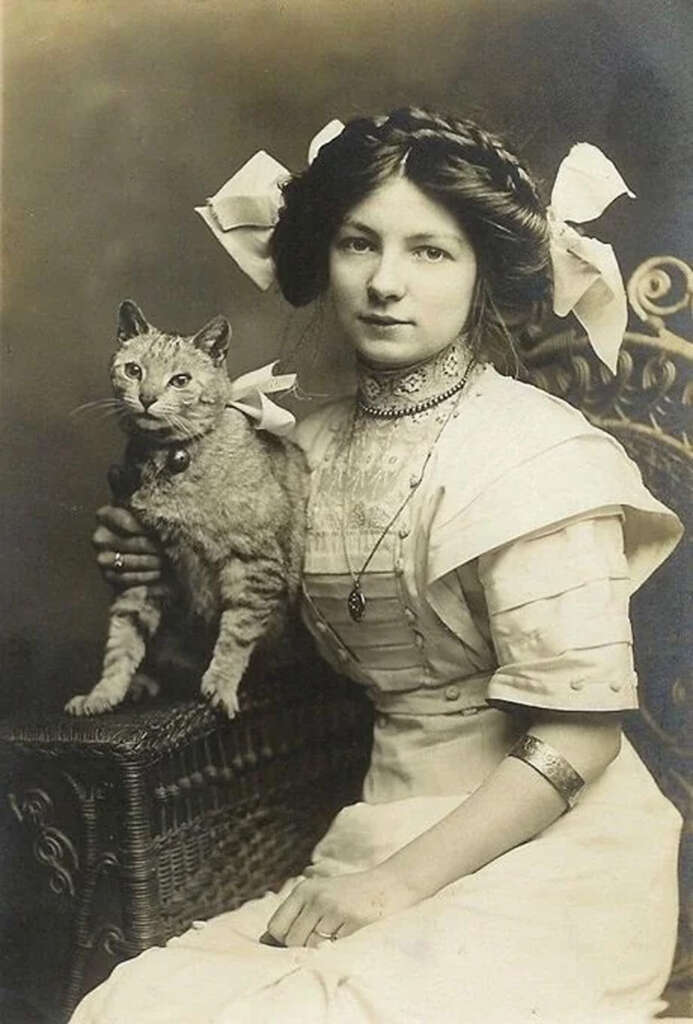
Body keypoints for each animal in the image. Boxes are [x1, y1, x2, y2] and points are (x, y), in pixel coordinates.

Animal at [66, 303, 307, 716]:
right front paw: (104, 693)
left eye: (180, 380)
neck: (171, 457)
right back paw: (142, 684)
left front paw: (221, 685)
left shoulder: (255, 565)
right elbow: (122, 641)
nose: (147, 397)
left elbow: (236, 633)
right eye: (134, 370)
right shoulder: (148, 569)